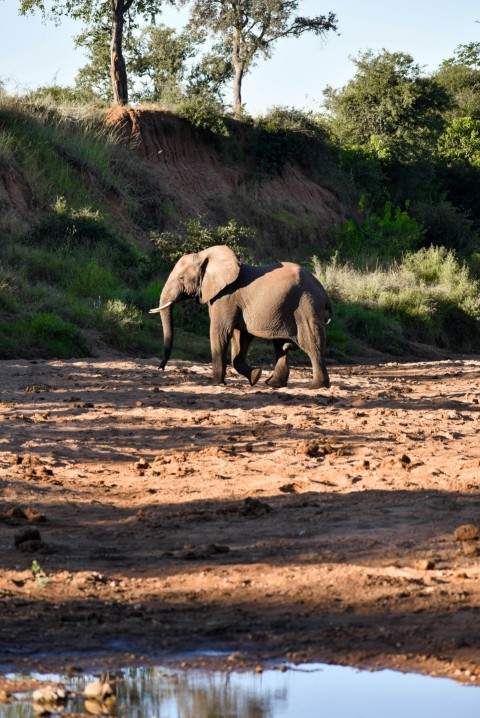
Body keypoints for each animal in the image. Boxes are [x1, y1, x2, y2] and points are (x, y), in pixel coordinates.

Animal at [150, 245, 333, 389]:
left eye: (181, 278)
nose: (160, 369)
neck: (205, 255)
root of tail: (323, 291)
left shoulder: (226, 297)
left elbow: (221, 332)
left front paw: (216, 384)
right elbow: (240, 337)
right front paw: (255, 375)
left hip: (306, 306)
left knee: (311, 342)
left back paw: (316, 386)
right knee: (280, 345)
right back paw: (274, 383)